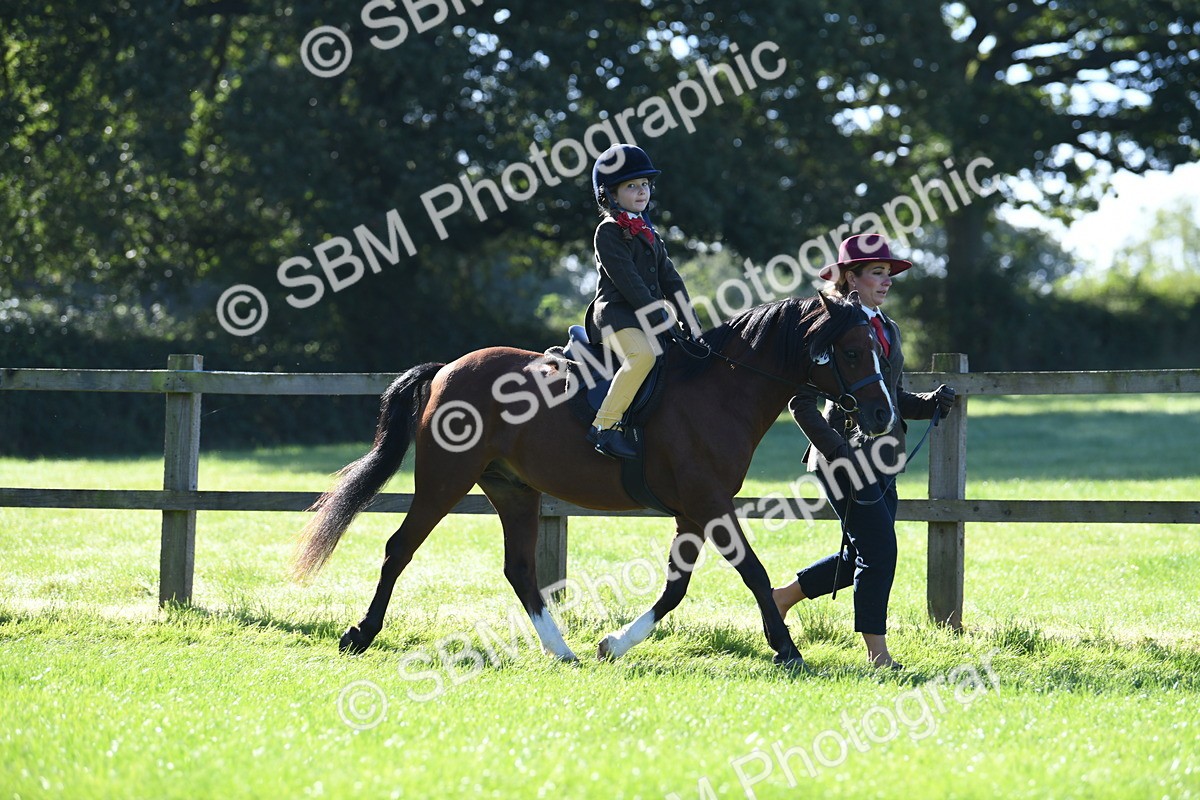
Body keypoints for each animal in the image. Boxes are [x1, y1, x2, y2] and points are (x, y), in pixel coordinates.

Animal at [292, 291, 897, 667]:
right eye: (851, 350)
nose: (882, 415)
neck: (721, 389)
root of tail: (447, 370)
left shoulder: (693, 510)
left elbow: (676, 588)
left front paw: (614, 644)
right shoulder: (709, 502)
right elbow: (752, 571)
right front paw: (787, 648)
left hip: (513, 490)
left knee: (519, 570)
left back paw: (562, 650)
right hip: (445, 480)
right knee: (399, 549)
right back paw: (361, 634)